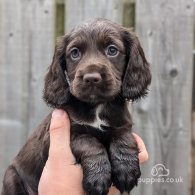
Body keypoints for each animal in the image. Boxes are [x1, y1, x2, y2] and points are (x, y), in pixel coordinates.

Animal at [1, 18, 151, 195]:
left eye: (112, 50)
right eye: (75, 53)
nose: (91, 78)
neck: (96, 107)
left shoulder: (122, 123)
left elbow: (124, 136)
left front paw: (126, 169)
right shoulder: (63, 135)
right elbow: (89, 141)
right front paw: (98, 178)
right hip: (11, 177)